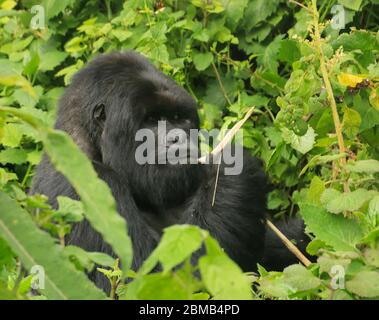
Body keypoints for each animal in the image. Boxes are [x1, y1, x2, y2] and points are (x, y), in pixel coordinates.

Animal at [31, 50, 308, 292]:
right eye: (151, 120)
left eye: (177, 118)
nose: (178, 137)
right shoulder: (85, 188)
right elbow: (148, 278)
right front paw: (231, 169)